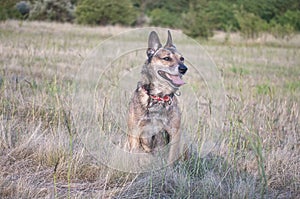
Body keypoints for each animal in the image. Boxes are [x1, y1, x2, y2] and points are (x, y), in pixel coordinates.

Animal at [126, 29, 188, 163]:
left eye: (182, 58)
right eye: (166, 58)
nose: (184, 69)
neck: (159, 96)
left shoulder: (174, 133)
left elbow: (171, 158)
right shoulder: (135, 132)